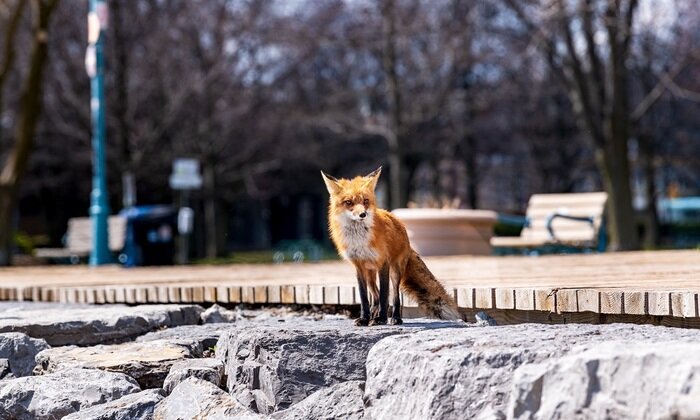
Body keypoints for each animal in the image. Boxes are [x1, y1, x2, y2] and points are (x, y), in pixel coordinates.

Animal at [322, 167, 462, 324]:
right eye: (348, 202)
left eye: (365, 201)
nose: (363, 214)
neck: (359, 240)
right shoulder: (358, 266)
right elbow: (364, 297)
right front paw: (364, 318)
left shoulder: (384, 262)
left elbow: (385, 295)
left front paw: (382, 318)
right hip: (370, 274)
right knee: (375, 296)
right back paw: (373, 315)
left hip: (395, 271)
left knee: (394, 296)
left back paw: (395, 318)